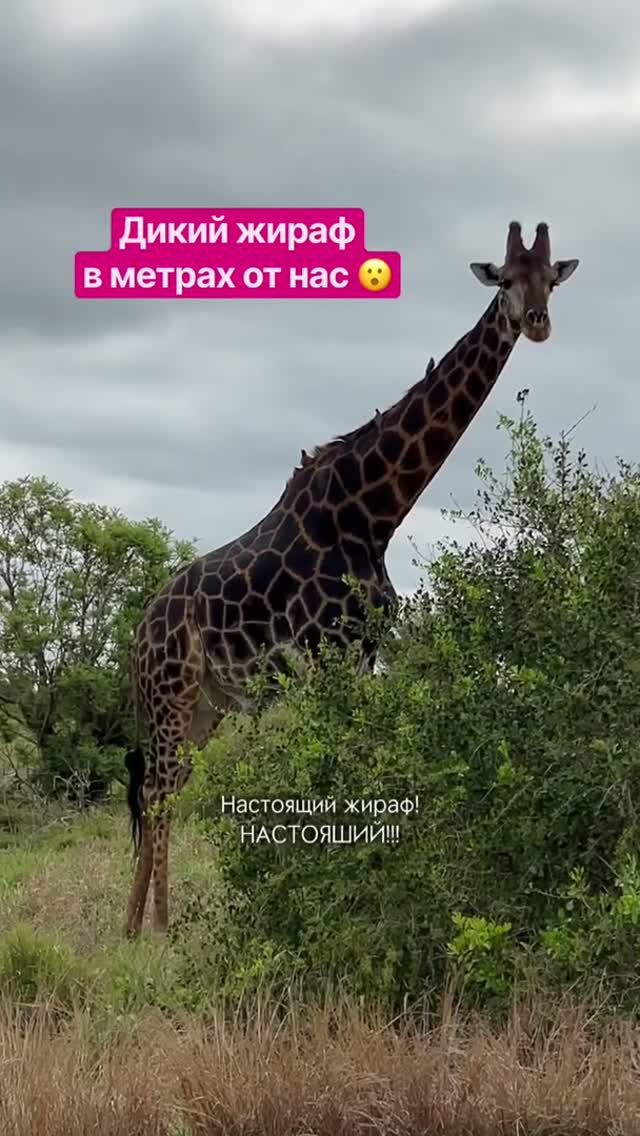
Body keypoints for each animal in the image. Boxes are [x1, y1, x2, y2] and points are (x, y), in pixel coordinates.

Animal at [124, 220, 578, 937]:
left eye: (550, 281)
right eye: (505, 279)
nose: (535, 322)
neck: (374, 514)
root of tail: (138, 630)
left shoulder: (361, 655)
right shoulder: (322, 655)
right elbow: (328, 777)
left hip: (206, 705)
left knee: (162, 792)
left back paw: (138, 929)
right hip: (171, 694)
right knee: (157, 790)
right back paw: (159, 932)